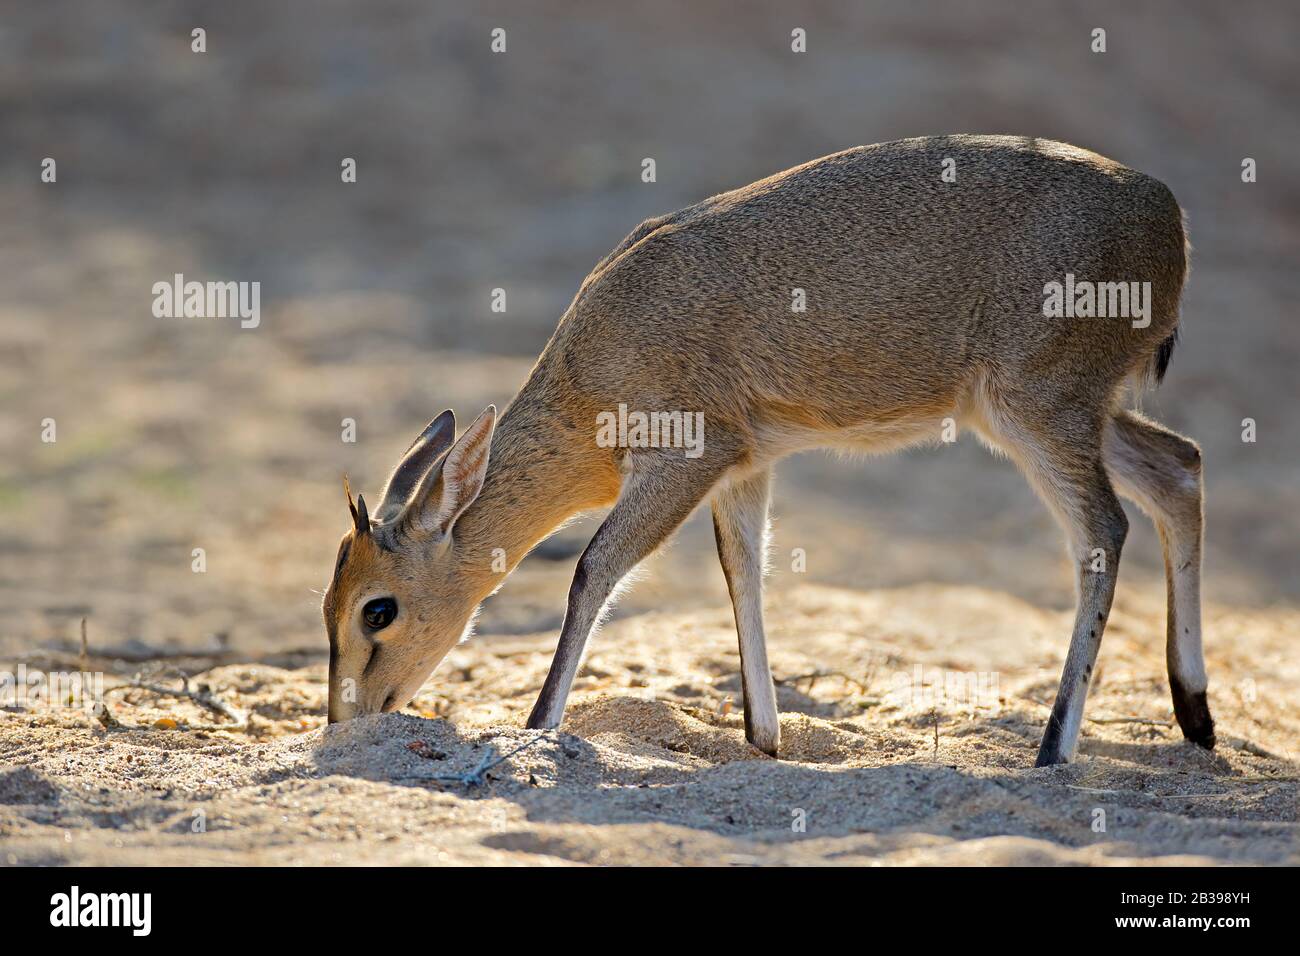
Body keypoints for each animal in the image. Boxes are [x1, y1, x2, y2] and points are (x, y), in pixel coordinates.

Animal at [322, 132, 1206, 770]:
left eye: (377, 608)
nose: (343, 721)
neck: (590, 378)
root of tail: (1167, 212)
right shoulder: (745, 465)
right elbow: (742, 569)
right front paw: (765, 735)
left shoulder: (685, 456)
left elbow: (592, 572)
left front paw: (536, 729)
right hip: (1068, 409)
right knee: (1180, 465)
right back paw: (1196, 716)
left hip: (1039, 407)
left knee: (1104, 529)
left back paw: (1055, 748)